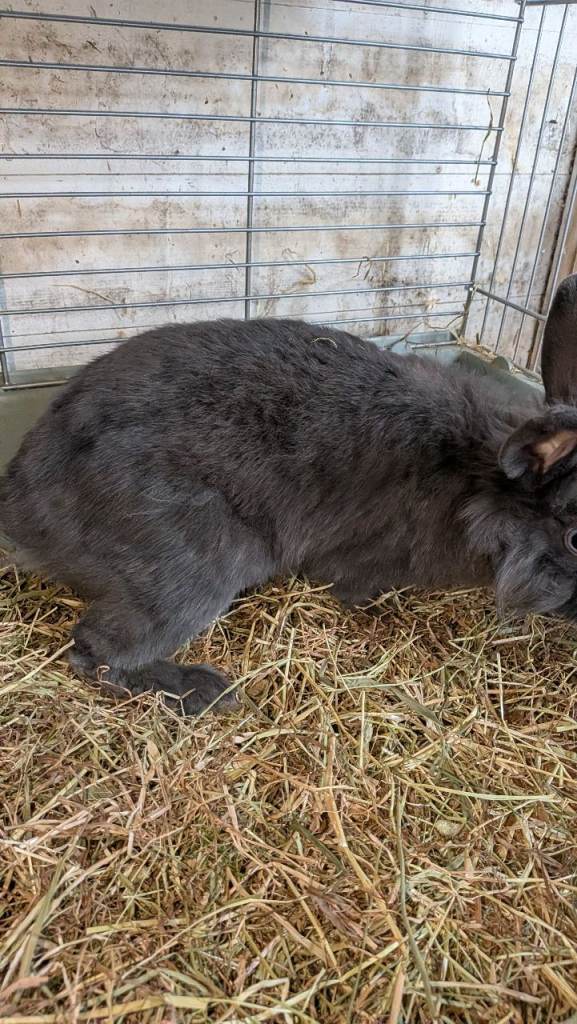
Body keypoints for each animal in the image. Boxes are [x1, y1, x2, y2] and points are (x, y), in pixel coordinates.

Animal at [1, 273, 577, 716]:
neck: (476, 476)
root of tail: (23, 504)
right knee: (95, 652)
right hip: (197, 563)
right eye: (574, 539)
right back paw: (204, 691)